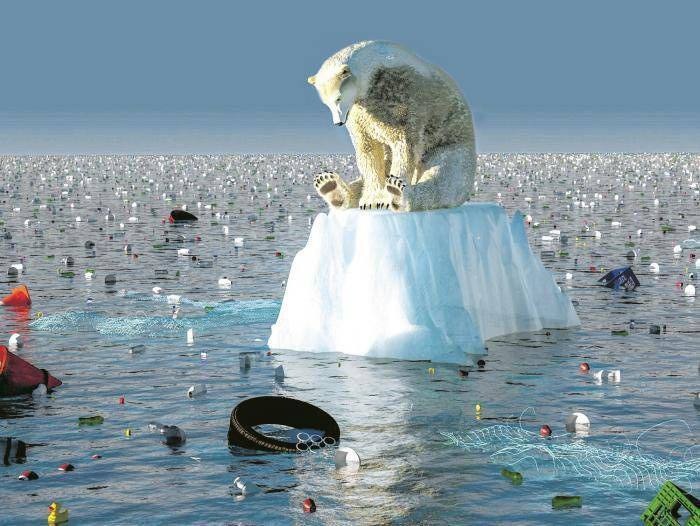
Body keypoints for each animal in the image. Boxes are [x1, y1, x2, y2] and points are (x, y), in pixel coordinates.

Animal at [308, 40, 476, 212]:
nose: (338, 122)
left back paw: (398, 194)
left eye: (338, 98)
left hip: (450, 143)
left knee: (443, 177)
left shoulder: (401, 94)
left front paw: (383, 198)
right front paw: (371, 200)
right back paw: (330, 187)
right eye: (326, 102)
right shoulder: (360, 112)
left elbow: (404, 145)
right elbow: (367, 150)